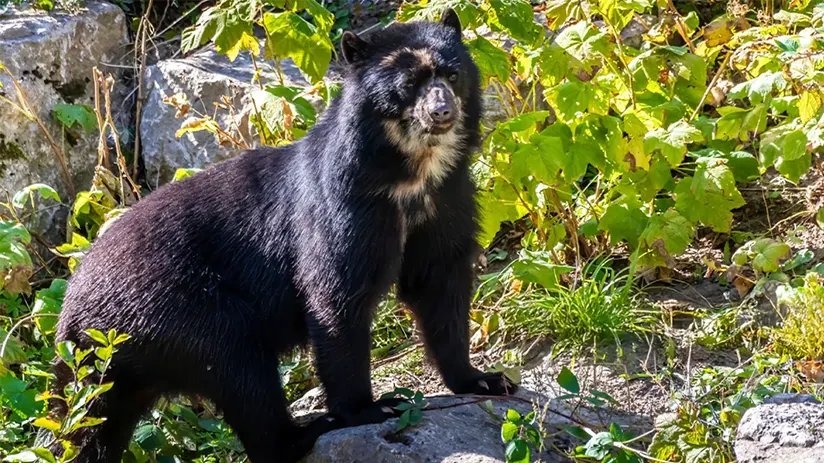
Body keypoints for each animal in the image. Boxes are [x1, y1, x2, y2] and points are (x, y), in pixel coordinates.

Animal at [52, 8, 516, 463]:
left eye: (452, 74)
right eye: (408, 84)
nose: (442, 111)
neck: (412, 174)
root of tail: (70, 314)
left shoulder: (447, 201)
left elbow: (440, 284)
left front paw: (485, 380)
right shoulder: (344, 210)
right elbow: (335, 295)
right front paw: (370, 408)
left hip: (116, 365)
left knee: (96, 428)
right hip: (172, 309)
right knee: (238, 363)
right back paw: (304, 433)